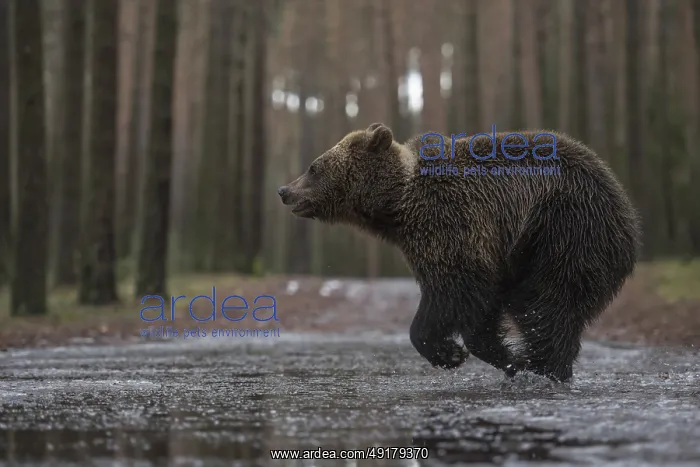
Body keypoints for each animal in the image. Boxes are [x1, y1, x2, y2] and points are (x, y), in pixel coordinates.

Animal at [278, 123, 641, 382]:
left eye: (313, 167)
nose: (284, 190)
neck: (396, 208)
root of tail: (628, 215)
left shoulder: (450, 223)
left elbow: (455, 289)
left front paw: (450, 353)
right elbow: (480, 311)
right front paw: (500, 356)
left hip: (565, 229)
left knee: (547, 303)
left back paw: (544, 368)